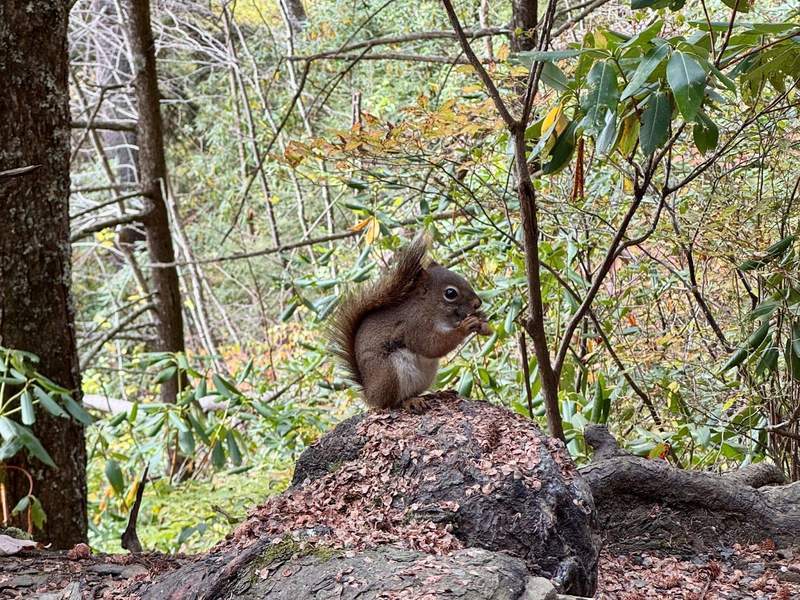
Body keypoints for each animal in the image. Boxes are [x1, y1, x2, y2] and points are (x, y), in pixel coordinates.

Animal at [328, 234, 491, 412]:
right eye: (450, 293)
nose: (478, 303)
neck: (431, 310)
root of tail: (370, 395)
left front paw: (482, 320)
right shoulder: (414, 325)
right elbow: (432, 345)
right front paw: (465, 327)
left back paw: (439, 394)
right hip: (390, 373)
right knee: (391, 402)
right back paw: (409, 402)